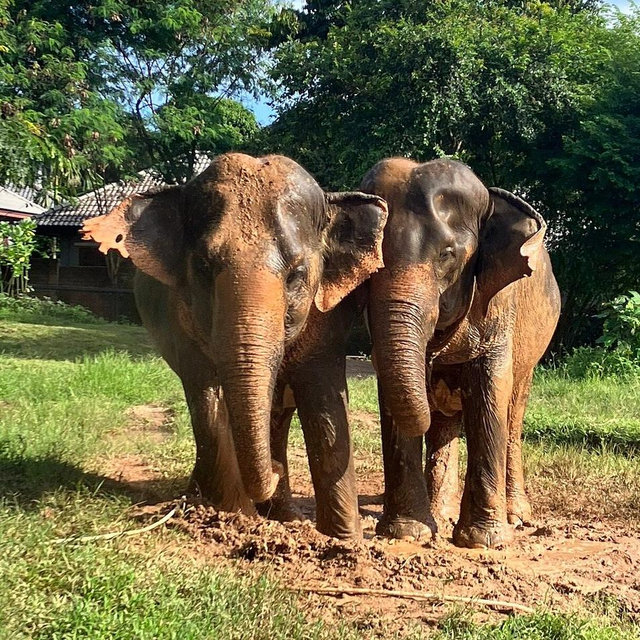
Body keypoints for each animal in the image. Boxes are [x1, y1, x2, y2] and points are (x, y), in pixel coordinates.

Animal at [82, 153, 388, 539]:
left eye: (296, 274)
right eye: (202, 266)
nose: (276, 470)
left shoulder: (328, 318)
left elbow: (324, 400)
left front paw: (344, 540)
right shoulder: (181, 319)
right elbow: (206, 396)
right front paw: (234, 518)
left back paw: (283, 513)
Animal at [361, 157, 560, 548]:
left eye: (447, 255)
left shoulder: (499, 305)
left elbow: (489, 395)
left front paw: (484, 541)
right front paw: (408, 533)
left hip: (532, 355)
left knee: (513, 415)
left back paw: (516, 516)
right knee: (444, 425)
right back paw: (440, 514)